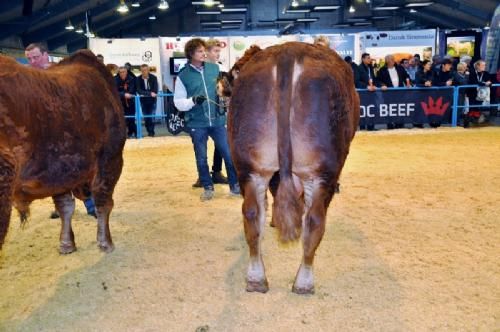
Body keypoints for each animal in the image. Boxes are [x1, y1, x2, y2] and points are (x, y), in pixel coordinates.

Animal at [0, 50, 125, 254]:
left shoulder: (59, 171)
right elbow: (103, 202)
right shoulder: (111, 157)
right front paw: (106, 242)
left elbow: (65, 206)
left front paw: (66, 244)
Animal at [222, 42, 360, 294]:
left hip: (248, 164)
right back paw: (304, 282)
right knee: (315, 219)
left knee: (252, 213)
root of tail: (287, 52)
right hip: (323, 169)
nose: (223, 88)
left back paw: (256, 278)